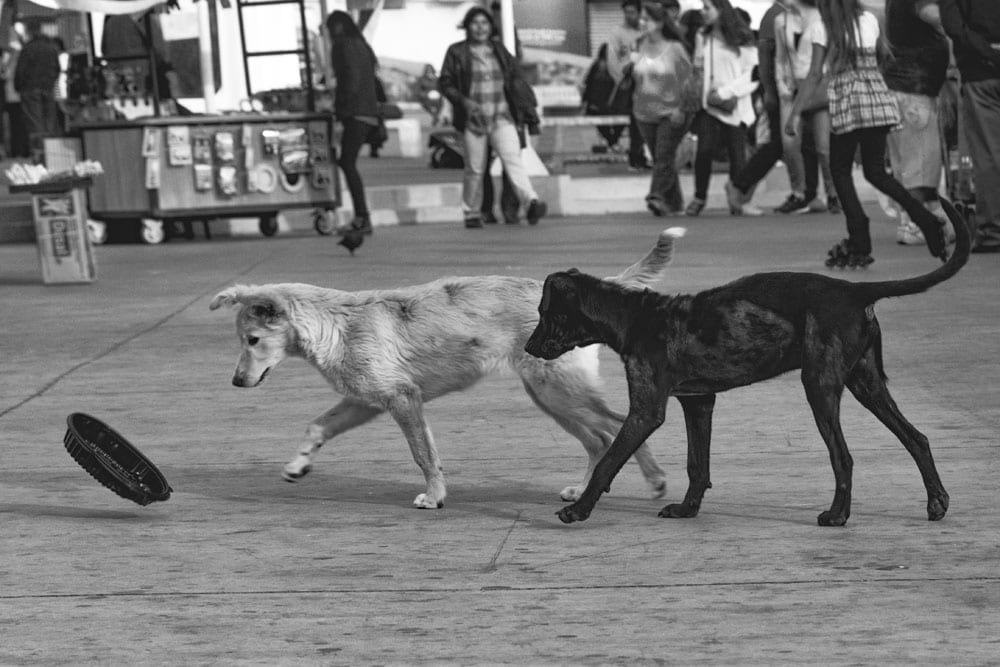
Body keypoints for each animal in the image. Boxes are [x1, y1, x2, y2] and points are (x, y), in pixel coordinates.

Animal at [207, 227, 684, 508]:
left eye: (253, 341)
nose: (236, 381)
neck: (336, 324)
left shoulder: (403, 400)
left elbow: (424, 454)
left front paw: (435, 496)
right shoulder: (366, 401)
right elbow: (316, 426)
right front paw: (297, 466)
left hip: (561, 392)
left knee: (620, 424)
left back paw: (656, 482)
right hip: (550, 398)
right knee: (598, 439)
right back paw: (586, 489)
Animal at [528, 200, 972, 528]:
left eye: (546, 313)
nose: (529, 348)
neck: (636, 317)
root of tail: (854, 291)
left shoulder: (647, 410)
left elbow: (608, 462)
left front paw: (578, 509)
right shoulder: (698, 402)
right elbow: (697, 464)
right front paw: (688, 509)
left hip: (820, 386)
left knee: (843, 456)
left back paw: (837, 516)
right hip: (866, 383)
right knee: (917, 438)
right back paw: (936, 503)